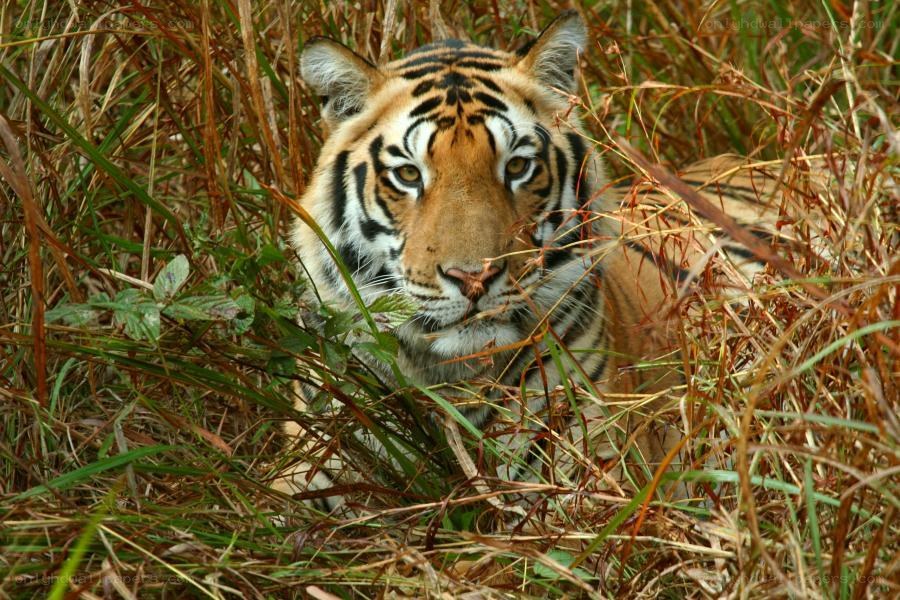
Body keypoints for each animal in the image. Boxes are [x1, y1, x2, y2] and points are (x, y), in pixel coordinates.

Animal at [273, 10, 828, 519]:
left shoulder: (594, 475)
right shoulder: (309, 462)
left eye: (518, 166)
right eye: (409, 175)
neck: (455, 380)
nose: (474, 278)